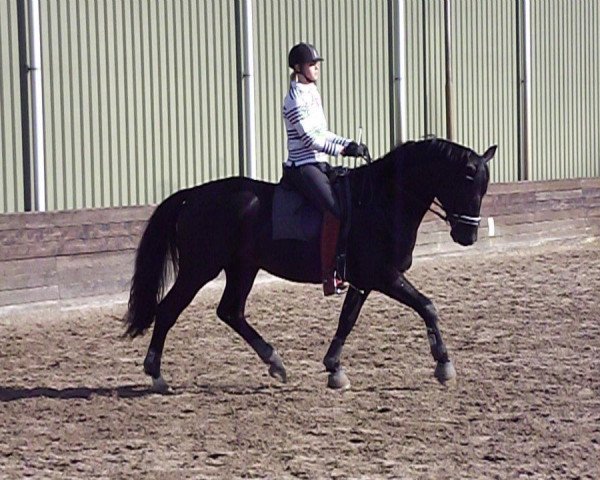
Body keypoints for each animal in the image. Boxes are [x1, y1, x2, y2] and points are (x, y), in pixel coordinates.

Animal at [123, 137, 496, 392]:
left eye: (485, 188)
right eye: (467, 184)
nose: (468, 236)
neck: (383, 201)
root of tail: (193, 195)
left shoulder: (364, 280)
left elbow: (347, 320)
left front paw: (334, 369)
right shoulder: (384, 276)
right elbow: (427, 306)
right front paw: (444, 365)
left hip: (243, 268)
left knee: (231, 311)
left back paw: (275, 363)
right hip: (200, 269)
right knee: (169, 310)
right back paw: (156, 375)